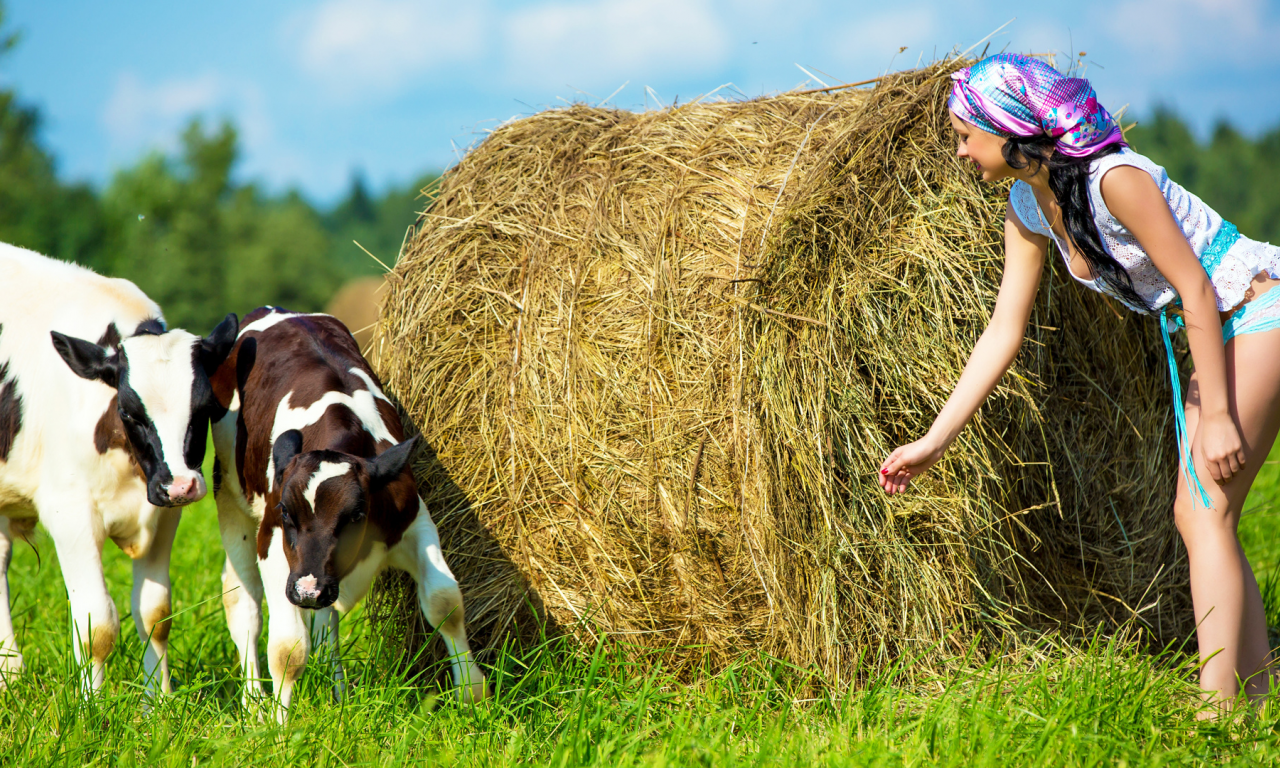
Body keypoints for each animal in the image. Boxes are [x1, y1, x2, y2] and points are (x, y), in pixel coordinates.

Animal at [0, 243, 238, 691]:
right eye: (128, 412)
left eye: (206, 408)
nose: (180, 485)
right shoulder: (69, 514)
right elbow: (97, 625)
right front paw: (91, 702)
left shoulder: (164, 515)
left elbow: (156, 614)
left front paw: (159, 699)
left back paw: (10, 674)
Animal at [209, 305, 488, 711]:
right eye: (287, 513)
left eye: (357, 515)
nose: (307, 592)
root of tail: (277, 310)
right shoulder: (275, 544)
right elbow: (288, 649)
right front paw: (279, 722)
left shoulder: (415, 522)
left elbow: (444, 601)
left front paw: (472, 693)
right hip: (232, 502)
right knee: (243, 606)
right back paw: (254, 704)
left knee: (326, 622)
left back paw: (338, 696)